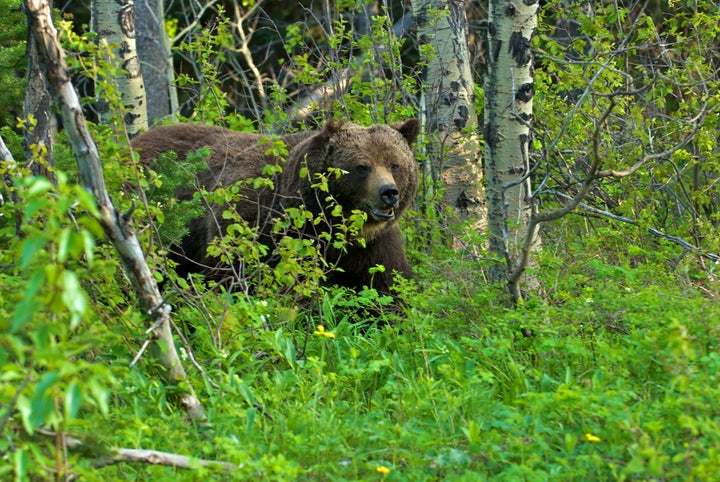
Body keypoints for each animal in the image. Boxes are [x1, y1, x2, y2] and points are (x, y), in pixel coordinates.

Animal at [132, 120, 420, 294]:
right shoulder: (251, 222)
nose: (389, 193)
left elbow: (388, 287)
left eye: (395, 164)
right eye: (362, 166)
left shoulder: (372, 246)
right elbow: (231, 276)